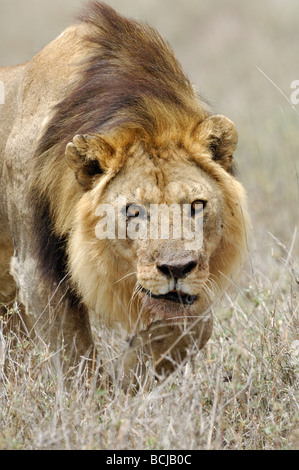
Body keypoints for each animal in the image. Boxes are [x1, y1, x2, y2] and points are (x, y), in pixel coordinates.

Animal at [0, 1, 250, 386]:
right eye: (134, 211)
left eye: (197, 205)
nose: (176, 268)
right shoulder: (36, 269)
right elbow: (73, 354)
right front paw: (96, 398)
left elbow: (193, 323)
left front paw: (136, 373)